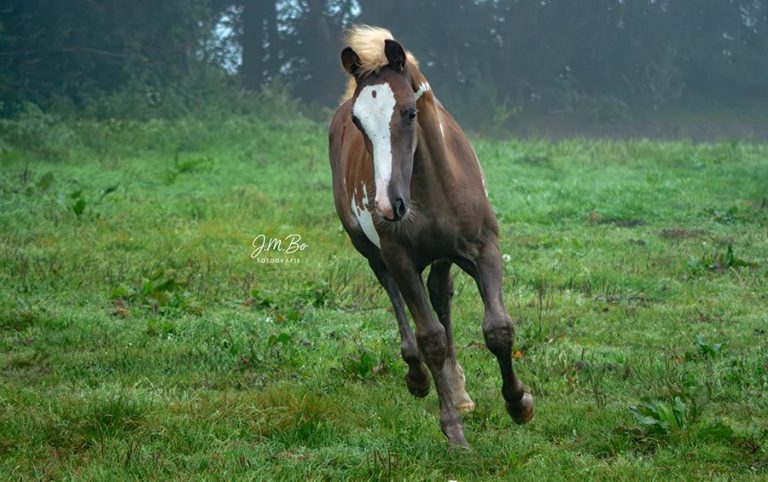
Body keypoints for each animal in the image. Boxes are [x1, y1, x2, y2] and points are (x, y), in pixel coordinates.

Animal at [328, 25, 534, 448]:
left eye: (409, 112)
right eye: (358, 121)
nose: (388, 204)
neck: (430, 188)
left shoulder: (484, 249)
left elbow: (498, 329)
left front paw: (519, 403)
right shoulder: (401, 259)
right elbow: (431, 338)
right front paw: (453, 431)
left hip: (443, 257)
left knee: (441, 295)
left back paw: (459, 390)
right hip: (371, 250)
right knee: (395, 296)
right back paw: (418, 377)